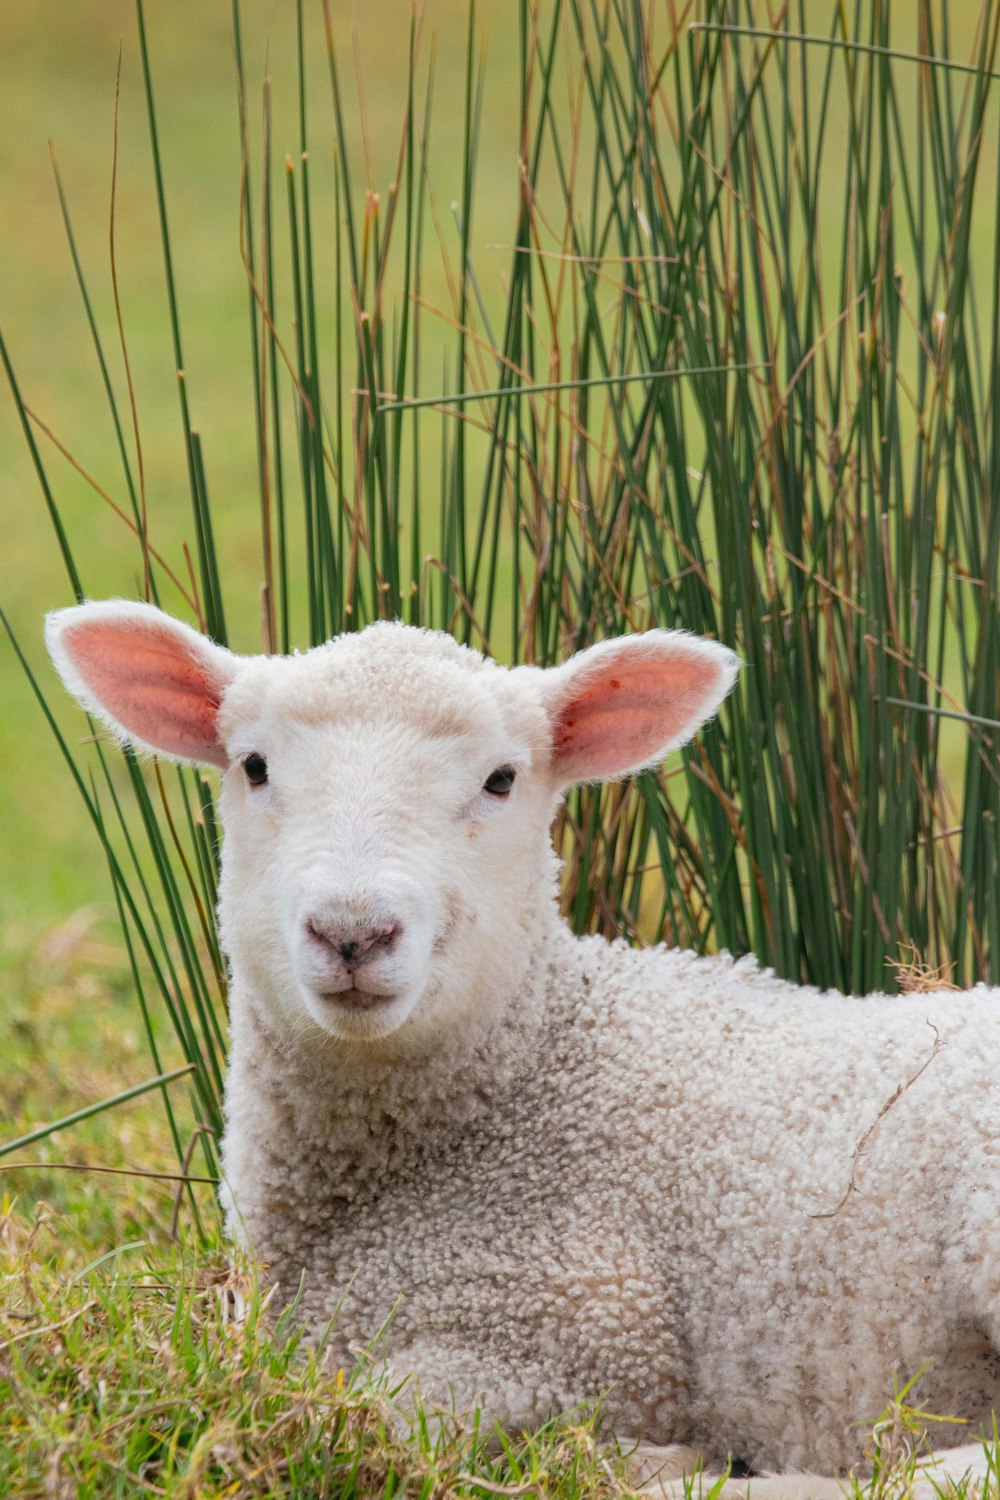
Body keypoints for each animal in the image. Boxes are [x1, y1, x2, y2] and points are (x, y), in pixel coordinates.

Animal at [44, 600, 1000, 1500]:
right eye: (253, 766)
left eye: (501, 779)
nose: (353, 932)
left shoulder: (586, 1338)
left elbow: (373, 1413)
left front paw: (651, 1452)